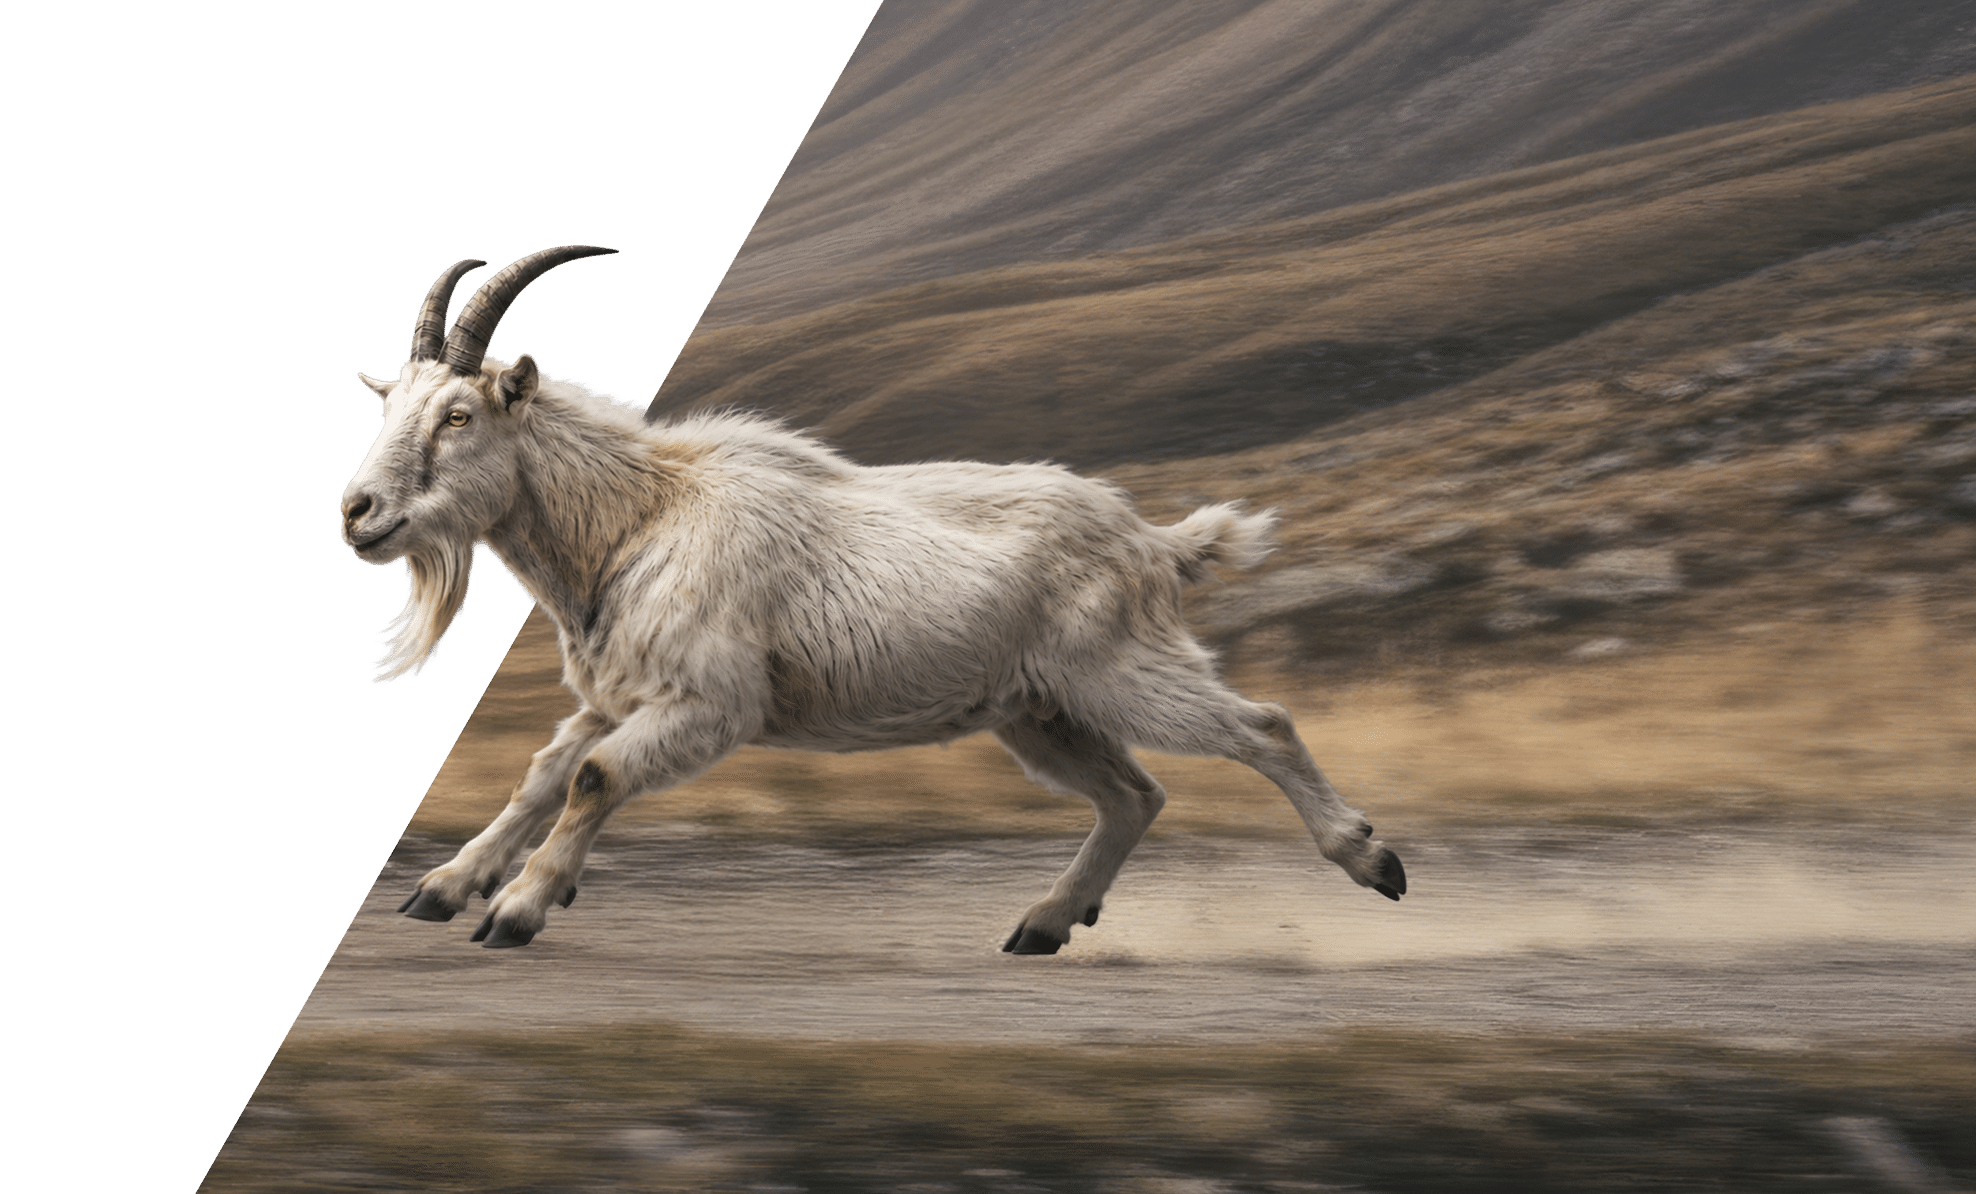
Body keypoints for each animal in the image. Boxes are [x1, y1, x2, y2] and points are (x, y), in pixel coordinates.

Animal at [341, 246, 1406, 951]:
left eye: (459, 414)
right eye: (394, 409)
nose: (359, 513)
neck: (638, 520)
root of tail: (1152, 541)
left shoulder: (710, 703)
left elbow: (594, 778)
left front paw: (517, 909)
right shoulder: (618, 695)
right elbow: (544, 773)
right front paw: (445, 887)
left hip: (1120, 670)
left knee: (1260, 727)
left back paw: (1373, 861)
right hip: (1038, 712)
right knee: (1134, 794)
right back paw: (1044, 923)